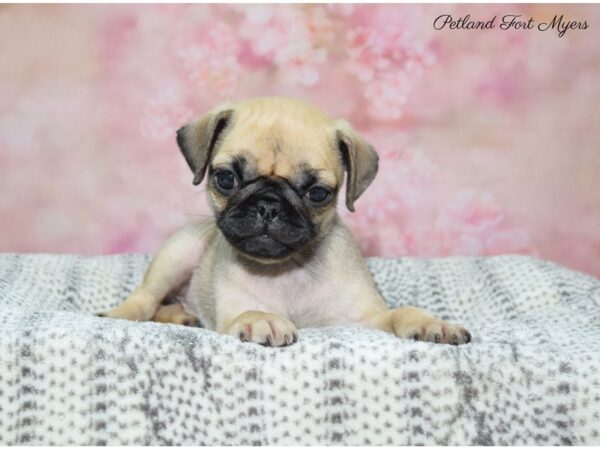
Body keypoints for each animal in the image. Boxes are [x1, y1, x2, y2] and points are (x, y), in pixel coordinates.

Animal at [101, 96, 472, 346]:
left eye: (318, 193)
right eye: (226, 178)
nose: (268, 205)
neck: (287, 270)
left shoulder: (363, 320)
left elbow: (399, 312)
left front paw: (431, 322)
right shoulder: (230, 311)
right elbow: (246, 312)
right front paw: (262, 319)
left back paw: (183, 316)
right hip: (179, 253)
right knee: (146, 299)